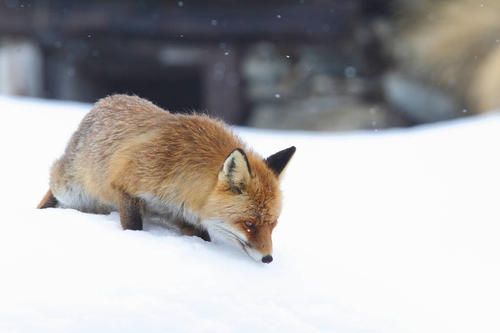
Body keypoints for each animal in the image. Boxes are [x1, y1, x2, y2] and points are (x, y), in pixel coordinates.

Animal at [40, 94, 296, 264]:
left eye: (273, 224)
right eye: (249, 224)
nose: (268, 258)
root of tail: (105, 100)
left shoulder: (183, 216)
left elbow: (203, 237)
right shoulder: (125, 184)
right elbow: (133, 226)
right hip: (70, 189)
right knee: (51, 185)